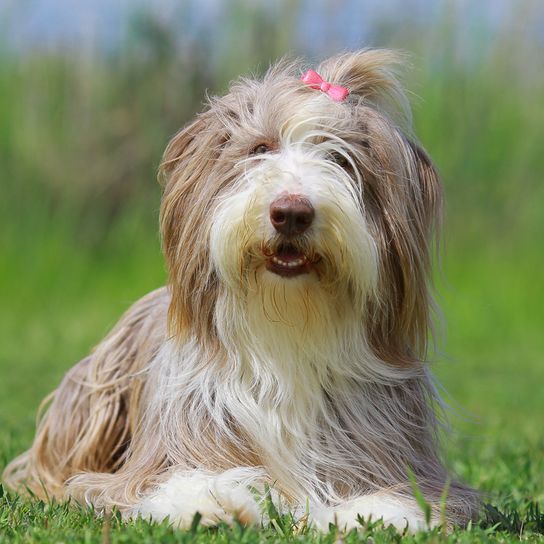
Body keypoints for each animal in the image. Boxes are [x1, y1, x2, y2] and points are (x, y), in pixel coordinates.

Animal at [2, 50, 478, 532]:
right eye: (260, 150)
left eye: (341, 159)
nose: (291, 213)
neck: (288, 333)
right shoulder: (174, 442)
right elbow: (176, 476)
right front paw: (210, 502)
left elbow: (402, 494)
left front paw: (374, 513)